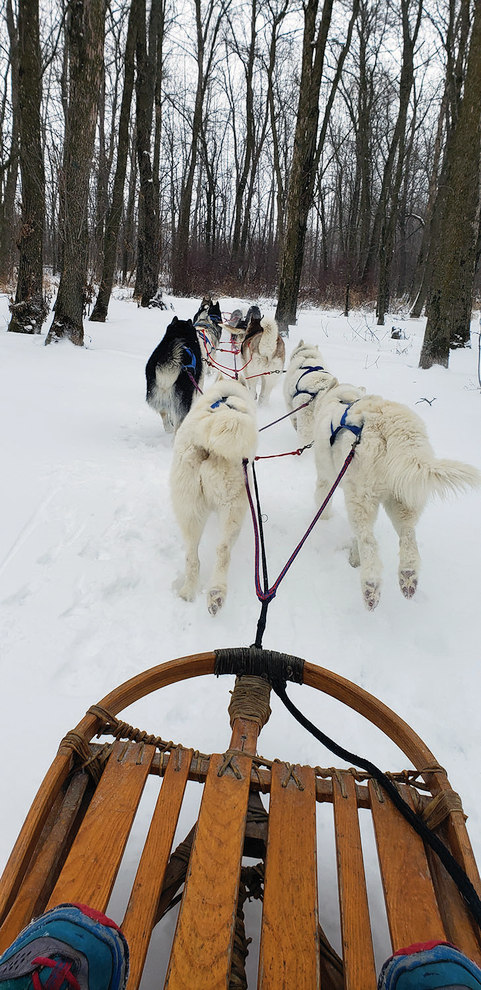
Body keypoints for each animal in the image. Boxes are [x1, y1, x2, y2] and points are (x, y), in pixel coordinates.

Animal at [171, 378, 256, 616]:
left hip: (188, 509)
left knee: (192, 556)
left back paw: (189, 593)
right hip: (233, 508)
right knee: (223, 551)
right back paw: (217, 593)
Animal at [314, 390, 478, 612]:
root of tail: (390, 424)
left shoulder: (326, 479)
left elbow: (323, 505)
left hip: (361, 497)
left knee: (368, 540)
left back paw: (371, 587)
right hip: (403, 494)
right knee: (408, 534)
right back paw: (408, 576)